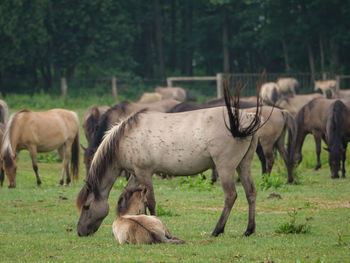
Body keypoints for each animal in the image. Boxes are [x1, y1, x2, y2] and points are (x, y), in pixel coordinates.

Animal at [76, 83, 262, 238]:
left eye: (86, 206)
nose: (80, 231)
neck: (124, 139)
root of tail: (246, 118)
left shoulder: (145, 173)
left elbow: (150, 201)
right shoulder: (136, 174)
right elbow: (125, 196)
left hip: (225, 167)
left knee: (230, 195)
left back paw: (217, 230)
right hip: (243, 165)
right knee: (250, 192)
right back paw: (249, 229)